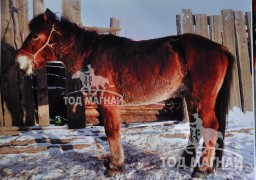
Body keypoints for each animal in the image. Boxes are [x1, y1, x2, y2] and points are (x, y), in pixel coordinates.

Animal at [16, 8, 234, 179]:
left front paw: (115, 165)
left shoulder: (108, 101)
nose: (19, 62)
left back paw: (202, 169)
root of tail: (220, 48)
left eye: (35, 35)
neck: (92, 53)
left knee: (210, 126)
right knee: (196, 127)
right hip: (192, 98)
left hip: (202, 99)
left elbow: (111, 131)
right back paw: (187, 161)